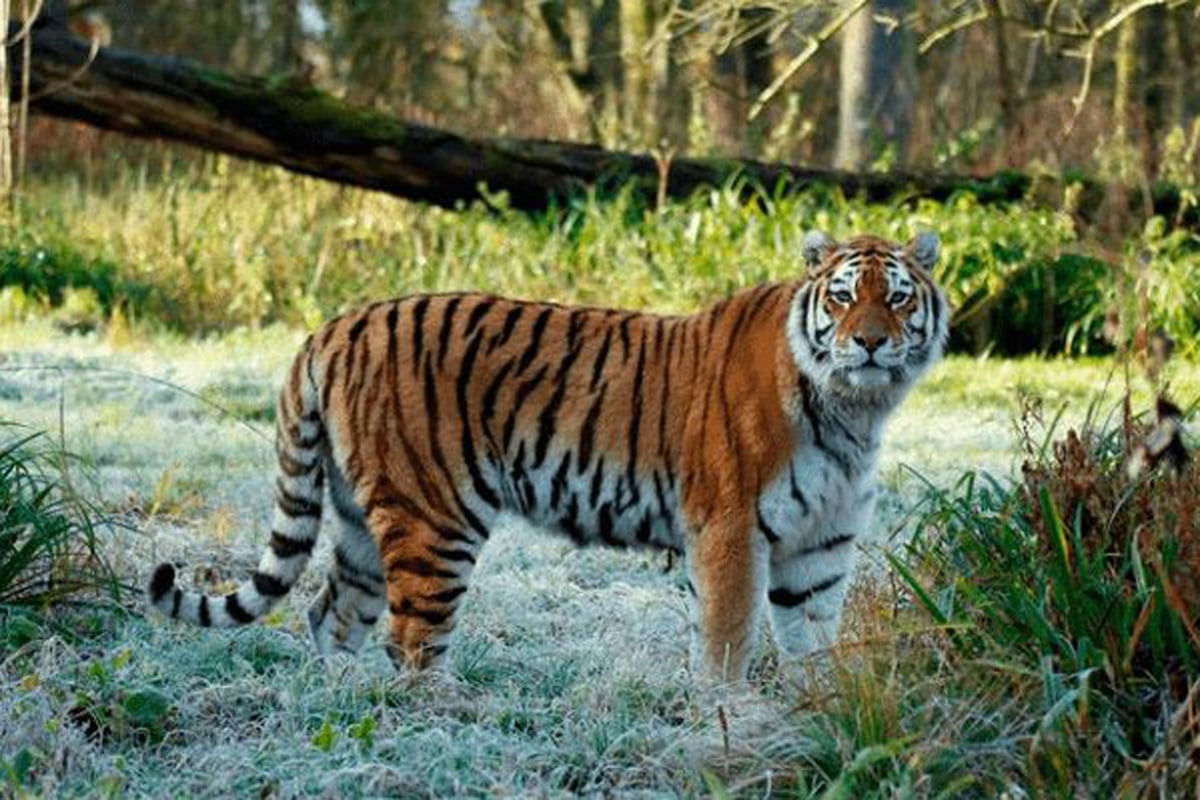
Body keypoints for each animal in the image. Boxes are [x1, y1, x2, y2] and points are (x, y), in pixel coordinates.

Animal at [147, 230, 949, 682]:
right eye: (842, 297)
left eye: (897, 299)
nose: (868, 342)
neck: (854, 410)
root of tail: (337, 324)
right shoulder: (729, 530)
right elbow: (727, 643)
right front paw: (729, 723)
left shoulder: (820, 545)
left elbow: (814, 645)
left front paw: (817, 718)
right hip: (434, 517)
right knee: (412, 640)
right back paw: (450, 720)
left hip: (359, 520)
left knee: (333, 616)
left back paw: (342, 707)